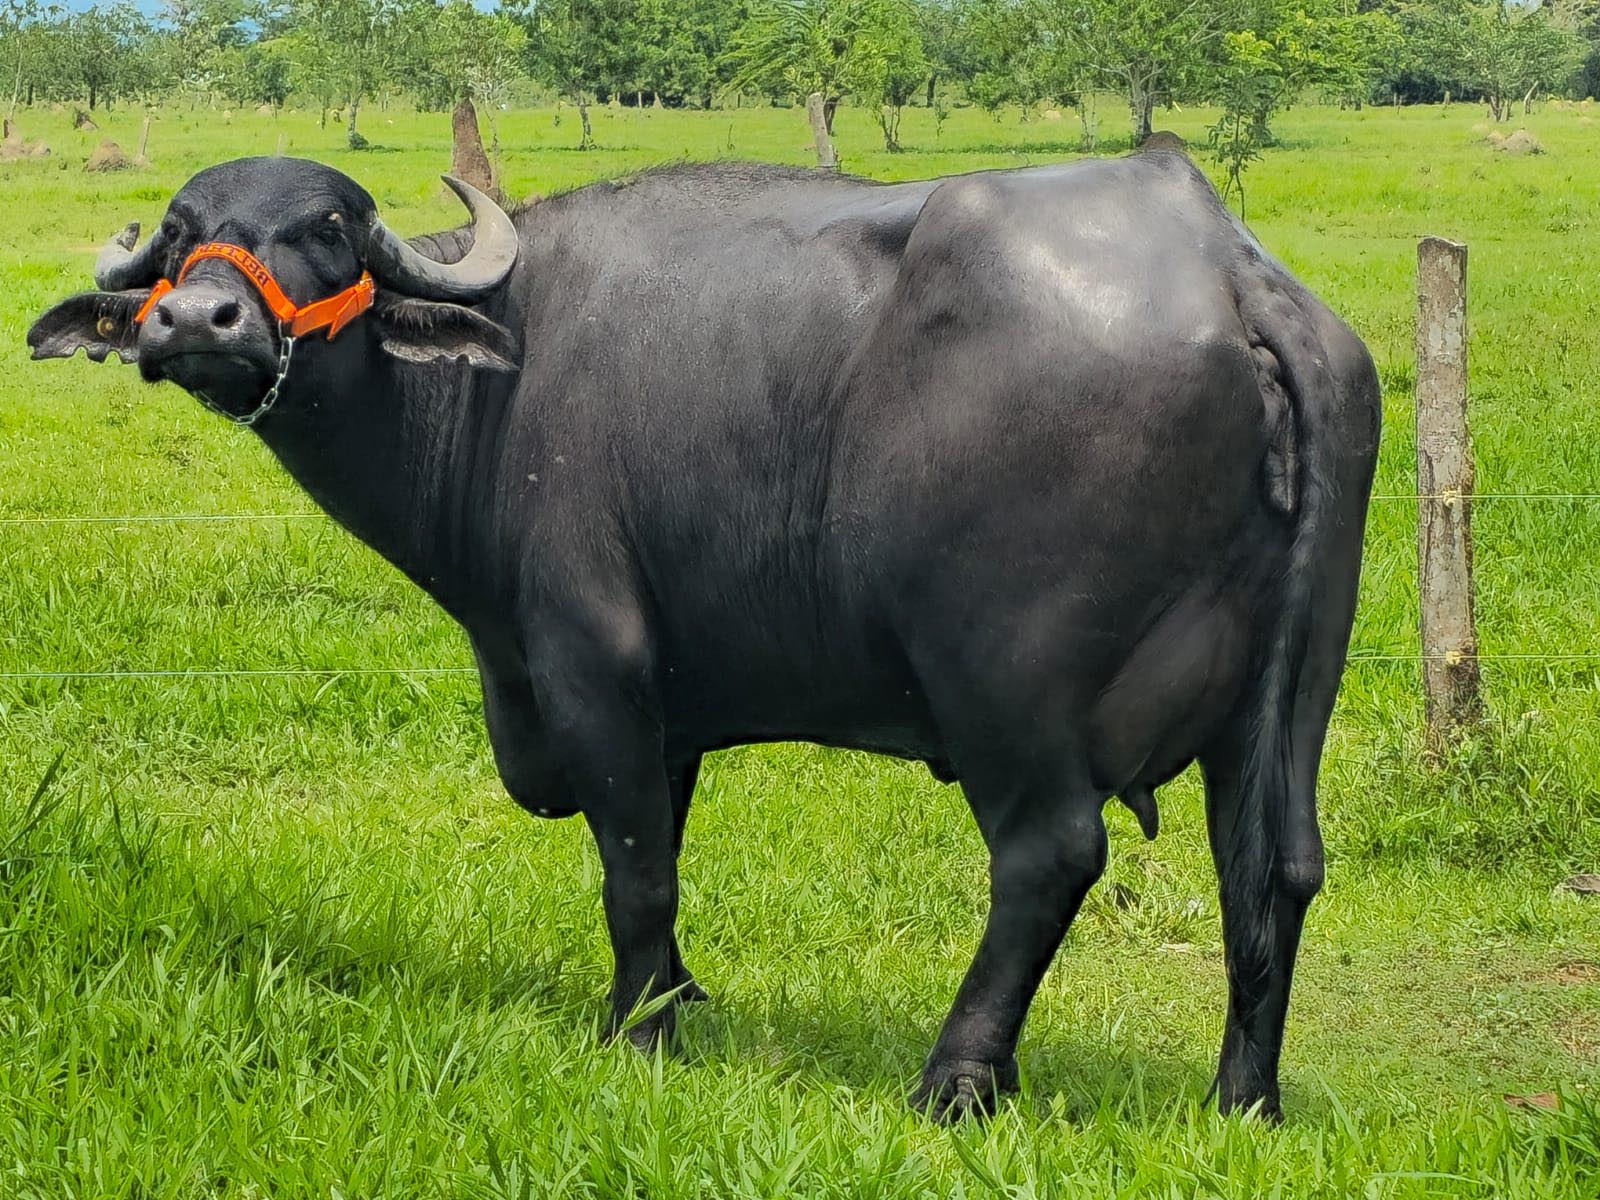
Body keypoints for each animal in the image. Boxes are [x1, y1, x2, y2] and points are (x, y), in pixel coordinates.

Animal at [29, 151, 1379, 1121]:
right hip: (1286, 697)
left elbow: (633, 868)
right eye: (180, 224)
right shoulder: (665, 715)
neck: (492, 386)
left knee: (1049, 857)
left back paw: (955, 1081)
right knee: (1272, 867)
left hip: (1004, 688)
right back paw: (1242, 1102)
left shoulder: (591, 669)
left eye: (320, 228)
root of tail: (1224, 270)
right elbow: (662, 853)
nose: (197, 321)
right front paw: (675, 996)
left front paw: (639, 1033)